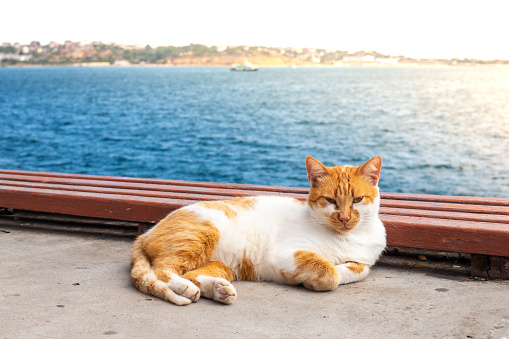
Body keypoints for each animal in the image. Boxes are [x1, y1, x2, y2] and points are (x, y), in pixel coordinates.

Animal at [131, 155, 384, 306]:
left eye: (358, 199)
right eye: (330, 200)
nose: (344, 218)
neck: (344, 237)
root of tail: (147, 232)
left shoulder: (363, 262)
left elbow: (355, 270)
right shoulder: (286, 254)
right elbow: (328, 272)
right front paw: (316, 278)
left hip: (224, 266)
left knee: (191, 275)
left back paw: (217, 289)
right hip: (202, 234)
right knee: (162, 269)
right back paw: (184, 288)